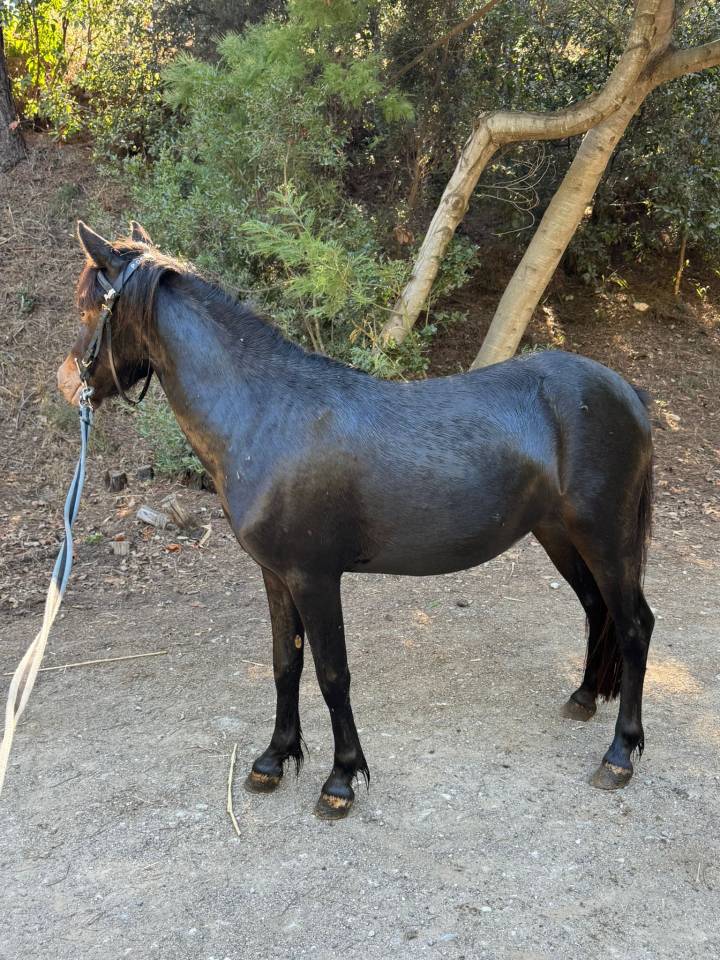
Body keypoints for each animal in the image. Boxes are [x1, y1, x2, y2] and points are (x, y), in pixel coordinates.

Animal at [57, 220, 655, 819]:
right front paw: (273, 760)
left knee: (634, 625)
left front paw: (341, 779)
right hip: (560, 536)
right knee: (596, 608)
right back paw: (584, 699)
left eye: (88, 308)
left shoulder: (315, 578)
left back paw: (619, 756)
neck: (266, 416)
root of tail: (627, 391)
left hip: (606, 538)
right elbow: (285, 665)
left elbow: (332, 674)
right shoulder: (276, 576)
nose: (67, 383)